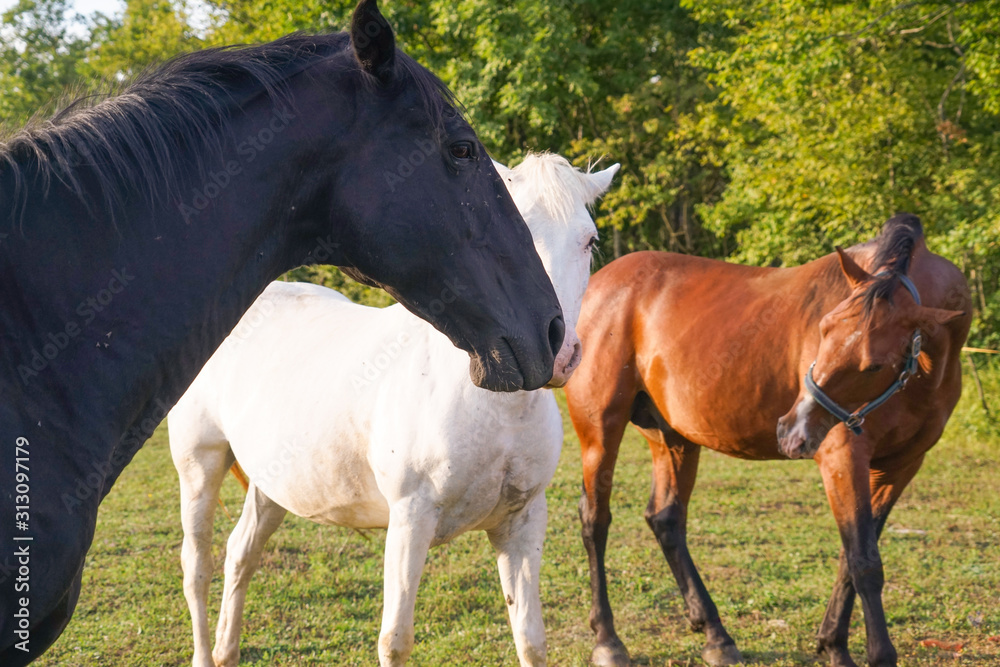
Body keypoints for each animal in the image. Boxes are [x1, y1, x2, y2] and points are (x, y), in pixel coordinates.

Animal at [171, 153, 616, 667]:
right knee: (197, 566)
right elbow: (395, 640)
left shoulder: (522, 521)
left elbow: (530, 639)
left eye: (589, 240)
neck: (491, 407)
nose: (555, 352)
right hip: (199, 464)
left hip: (273, 482)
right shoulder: (409, 521)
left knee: (240, 553)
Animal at [568, 215, 972, 667]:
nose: (791, 431)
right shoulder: (842, 457)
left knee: (666, 519)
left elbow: (851, 558)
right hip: (600, 432)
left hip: (673, 438)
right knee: (595, 520)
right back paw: (608, 639)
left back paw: (716, 635)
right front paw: (873, 653)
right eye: (824, 328)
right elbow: (864, 562)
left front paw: (832, 641)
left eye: (873, 365)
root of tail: (598, 284)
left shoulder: (900, 467)